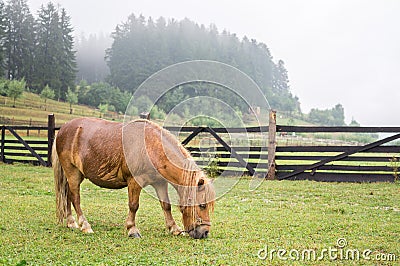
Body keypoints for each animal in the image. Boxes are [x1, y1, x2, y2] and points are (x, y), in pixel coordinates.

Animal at [54, 117, 216, 238]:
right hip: (72, 172)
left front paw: (174, 228)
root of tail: (63, 128)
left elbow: (166, 205)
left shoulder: (160, 183)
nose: (205, 233)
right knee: (75, 198)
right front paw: (132, 229)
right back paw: (85, 225)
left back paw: (71, 222)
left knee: (68, 195)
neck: (152, 147)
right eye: (202, 205)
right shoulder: (134, 182)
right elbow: (133, 205)